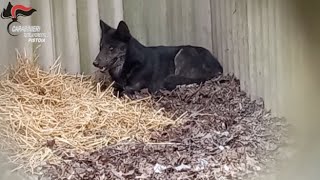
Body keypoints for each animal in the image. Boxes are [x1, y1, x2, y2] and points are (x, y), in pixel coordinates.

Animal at [92, 20, 222, 96]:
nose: (95, 63)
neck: (130, 62)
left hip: (184, 52)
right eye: (100, 47)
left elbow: (122, 90)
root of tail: (218, 67)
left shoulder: (136, 86)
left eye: (111, 48)